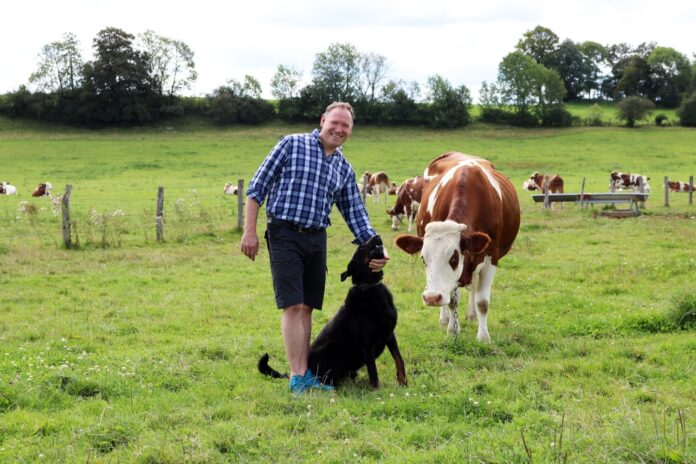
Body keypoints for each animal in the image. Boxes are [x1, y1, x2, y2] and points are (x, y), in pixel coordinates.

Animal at [258, 236, 406, 388]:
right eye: (361, 247)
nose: (377, 236)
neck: (369, 287)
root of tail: (304, 371)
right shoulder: (367, 342)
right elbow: (373, 371)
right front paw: (377, 390)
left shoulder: (390, 334)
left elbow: (399, 359)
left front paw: (403, 382)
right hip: (332, 350)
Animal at [394, 152, 520, 340]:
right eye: (424, 259)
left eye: (453, 258)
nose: (431, 298)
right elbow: (452, 300)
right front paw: (453, 329)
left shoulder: (491, 257)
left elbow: (482, 301)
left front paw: (483, 337)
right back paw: (445, 318)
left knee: (474, 287)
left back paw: (472, 315)